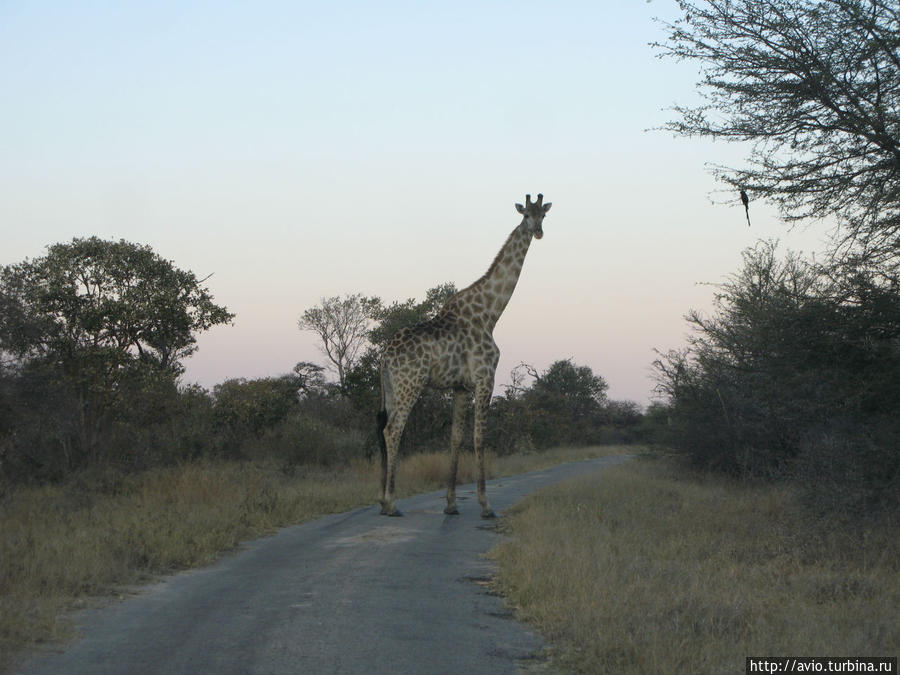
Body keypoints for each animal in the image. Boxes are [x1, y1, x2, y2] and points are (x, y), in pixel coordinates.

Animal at [372, 193, 548, 520]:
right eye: (526, 215)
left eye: (543, 214)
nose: (539, 232)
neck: (490, 314)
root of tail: (384, 357)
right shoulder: (485, 378)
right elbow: (479, 438)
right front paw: (486, 505)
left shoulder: (460, 386)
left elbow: (454, 438)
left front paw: (452, 504)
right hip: (409, 384)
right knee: (393, 429)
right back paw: (391, 503)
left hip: (389, 387)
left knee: (381, 429)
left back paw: (380, 499)